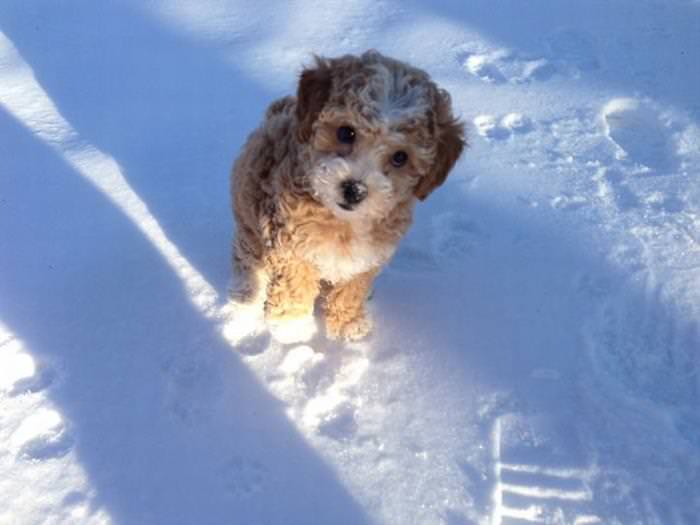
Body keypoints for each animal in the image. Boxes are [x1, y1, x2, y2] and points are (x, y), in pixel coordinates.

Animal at [231, 50, 464, 344]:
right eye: (346, 132)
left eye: (400, 157)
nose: (354, 190)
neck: (343, 221)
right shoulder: (288, 238)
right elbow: (295, 280)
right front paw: (291, 325)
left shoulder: (367, 256)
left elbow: (352, 287)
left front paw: (348, 323)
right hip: (248, 217)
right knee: (247, 258)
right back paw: (244, 295)